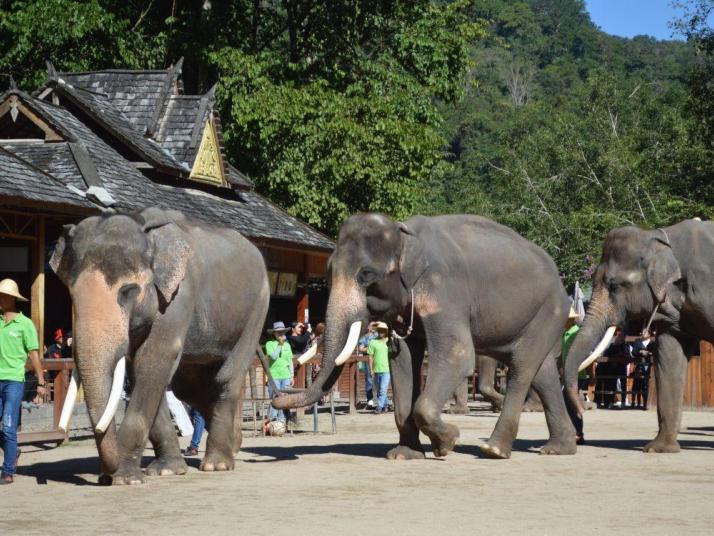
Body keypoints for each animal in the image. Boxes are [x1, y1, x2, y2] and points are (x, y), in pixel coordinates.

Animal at [272, 213, 572, 456]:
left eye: (367, 274)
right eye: (328, 272)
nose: (277, 395)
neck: (404, 234)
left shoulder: (445, 291)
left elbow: (458, 355)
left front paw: (448, 442)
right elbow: (402, 360)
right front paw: (405, 454)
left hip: (550, 310)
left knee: (522, 367)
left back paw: (495, 450)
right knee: (543, 372)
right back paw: (558, 448)